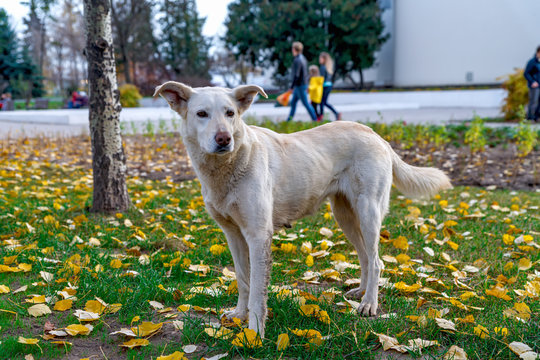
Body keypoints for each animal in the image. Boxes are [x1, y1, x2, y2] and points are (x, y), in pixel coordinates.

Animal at [155, 81, 452, 338]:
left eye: (230, 113)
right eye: (201, 114)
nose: (224, 139)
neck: (228, 165)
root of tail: (377, 135)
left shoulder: (258, 235)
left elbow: (257, 293)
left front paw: (254, 333)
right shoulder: (233, 235)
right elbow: (242, 278)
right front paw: (239, 315)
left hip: (369, 212)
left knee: (377, 261)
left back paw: (370, 304)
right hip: (345, 216)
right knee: (366, 257)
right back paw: (360, 293)